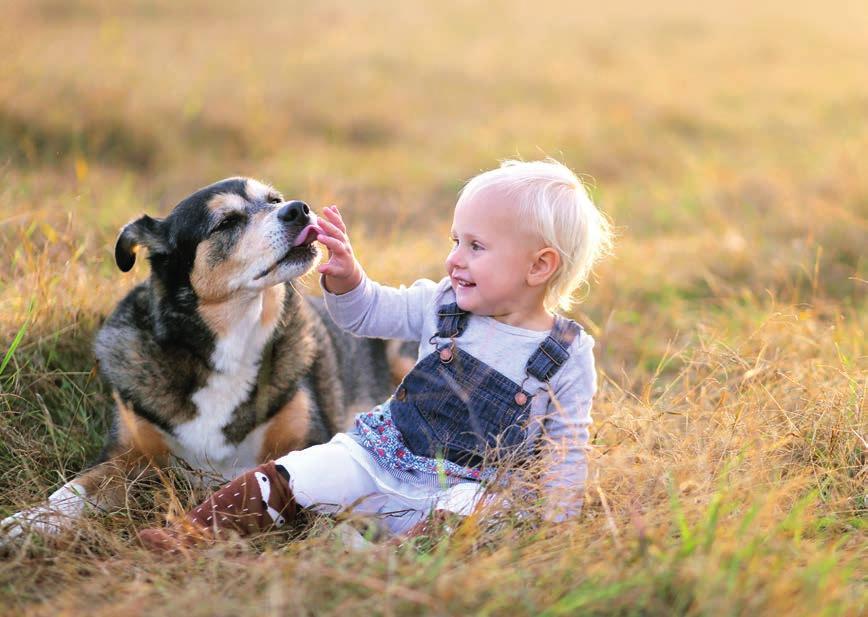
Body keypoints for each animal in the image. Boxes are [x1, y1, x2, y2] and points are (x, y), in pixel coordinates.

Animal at [1, 176, 414, 540]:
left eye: (275, 200)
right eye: (226, 221)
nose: (299, 209)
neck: (232, 342)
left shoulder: (310, 441)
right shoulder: (125, 455)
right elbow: (74, 489)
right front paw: (27, 522)